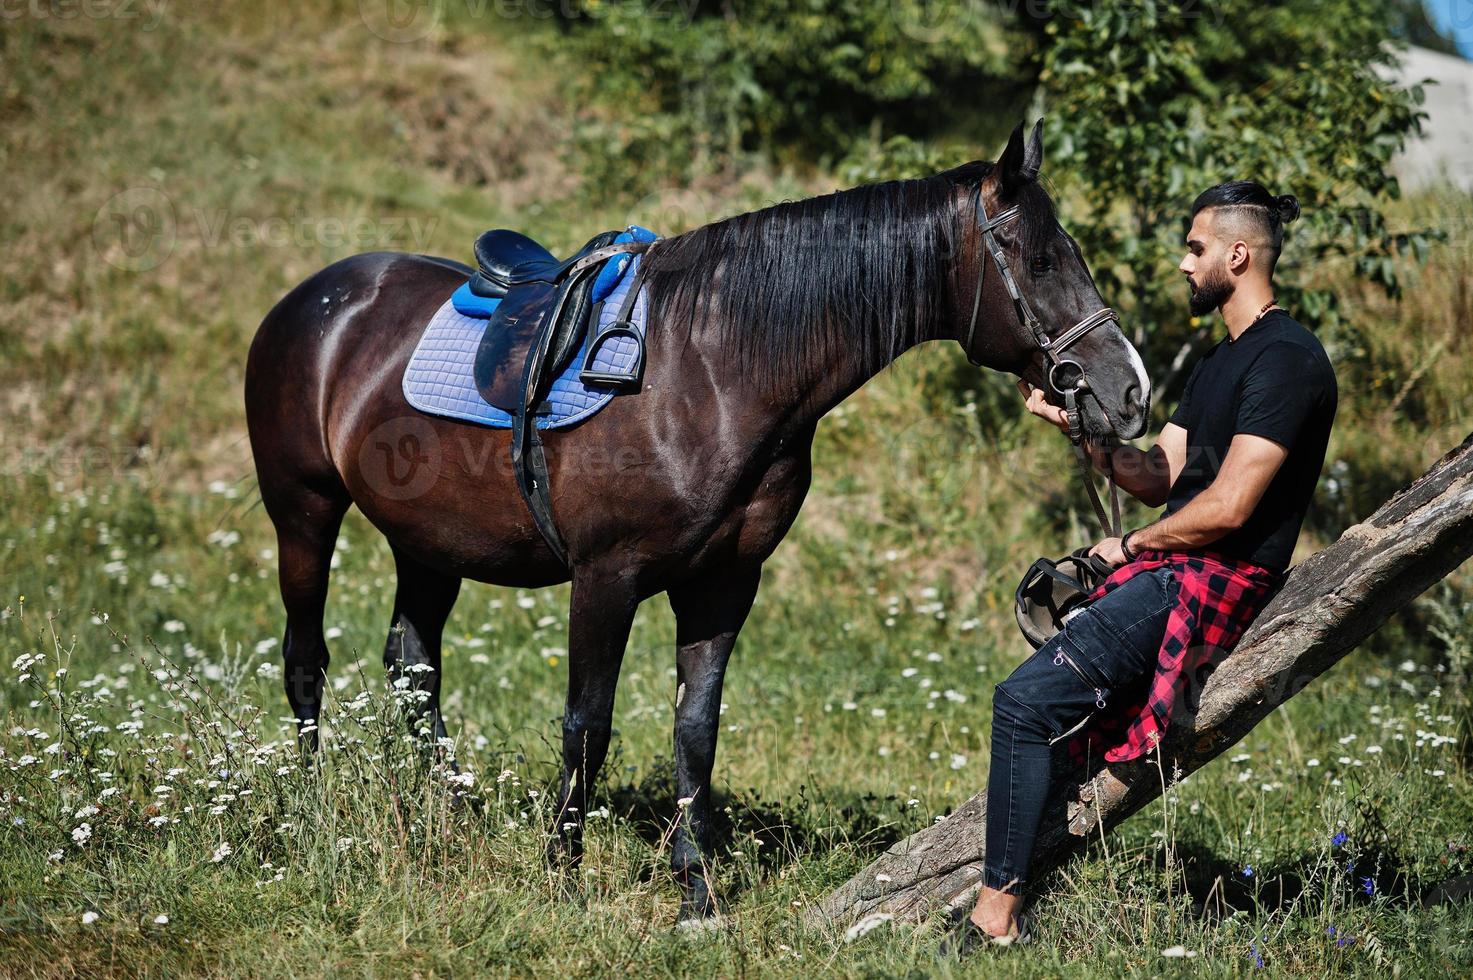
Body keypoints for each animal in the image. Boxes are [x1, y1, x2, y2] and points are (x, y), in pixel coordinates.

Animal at [247, 122, 1154, 919]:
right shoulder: (604, 578)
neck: (712, 369)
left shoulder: (723, 582)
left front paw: (696, 890)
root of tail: (317, 297)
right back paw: (313, 811)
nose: (1128, 392)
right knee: (306, 660)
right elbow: (587, 725)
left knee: (412, 666)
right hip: (302, 512)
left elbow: (695, 728)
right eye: (1040, 260)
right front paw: (563, 877)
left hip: (428, 545)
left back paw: (448, 811)